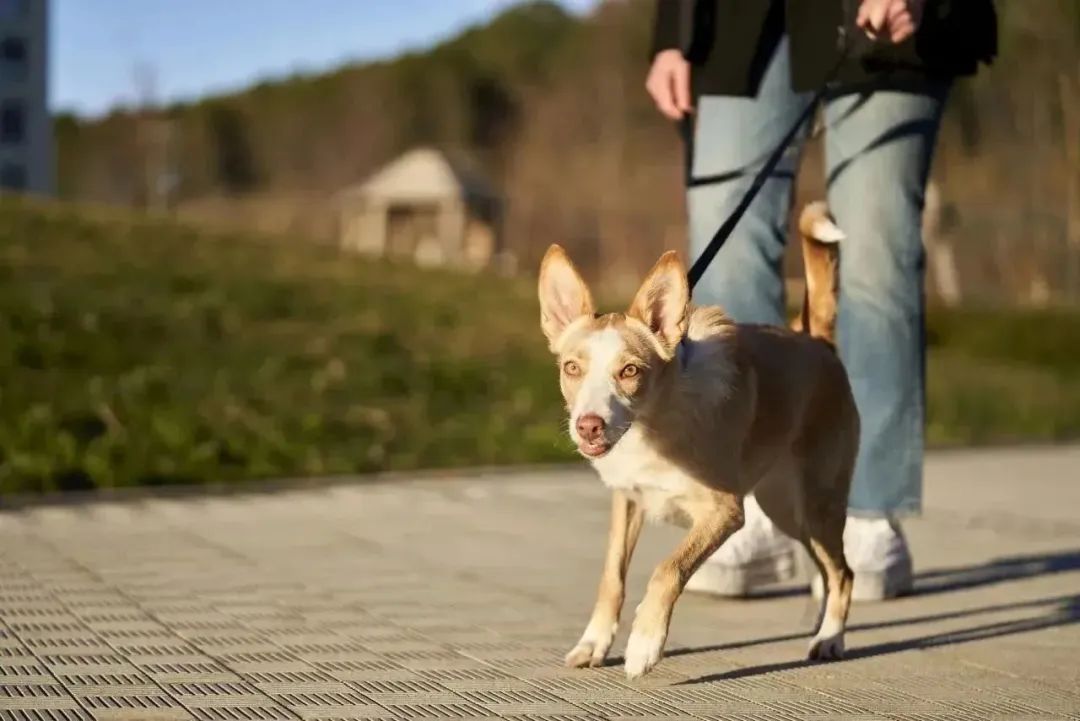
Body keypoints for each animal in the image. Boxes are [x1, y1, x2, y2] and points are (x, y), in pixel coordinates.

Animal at [537, 201, 859, 677]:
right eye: (571, 368)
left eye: (630, 370)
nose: (589, 425)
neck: (654, 425)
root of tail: (815, 340)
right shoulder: (627, 500)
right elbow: (612, 576)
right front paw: (594, 642)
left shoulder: (725, 513)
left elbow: (667, 569)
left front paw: (645, 642)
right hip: (785, 508)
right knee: (827, 570)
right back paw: (820, 626)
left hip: (815, 505)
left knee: (843, 573)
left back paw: (831, 638)